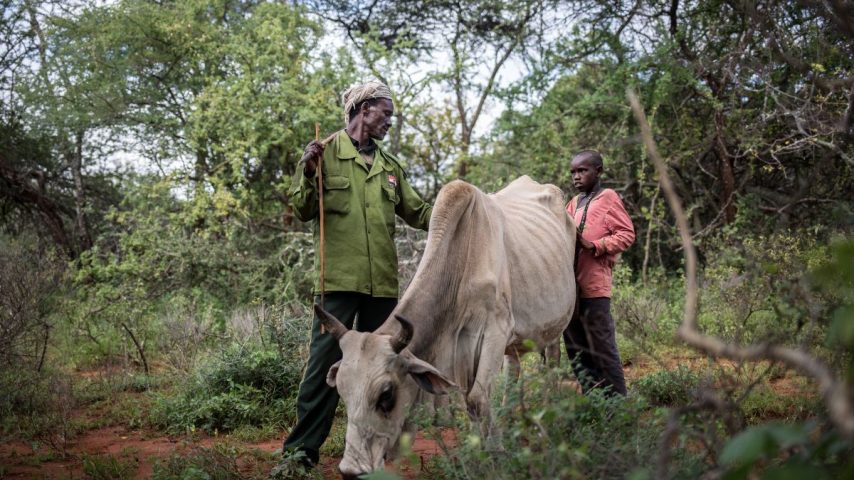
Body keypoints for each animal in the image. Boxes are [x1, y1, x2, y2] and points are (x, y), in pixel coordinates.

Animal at [314, 174, 576, 474]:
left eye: (386, 395)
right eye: (342, 391)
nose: (351, 470)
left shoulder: (494, 333)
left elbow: (477, 399)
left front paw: (495, 453)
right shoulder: (465, 346)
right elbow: (469, 400)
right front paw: (477, 452)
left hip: (554, 326)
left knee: (552, 367)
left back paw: (552, 417)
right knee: (514, 371)